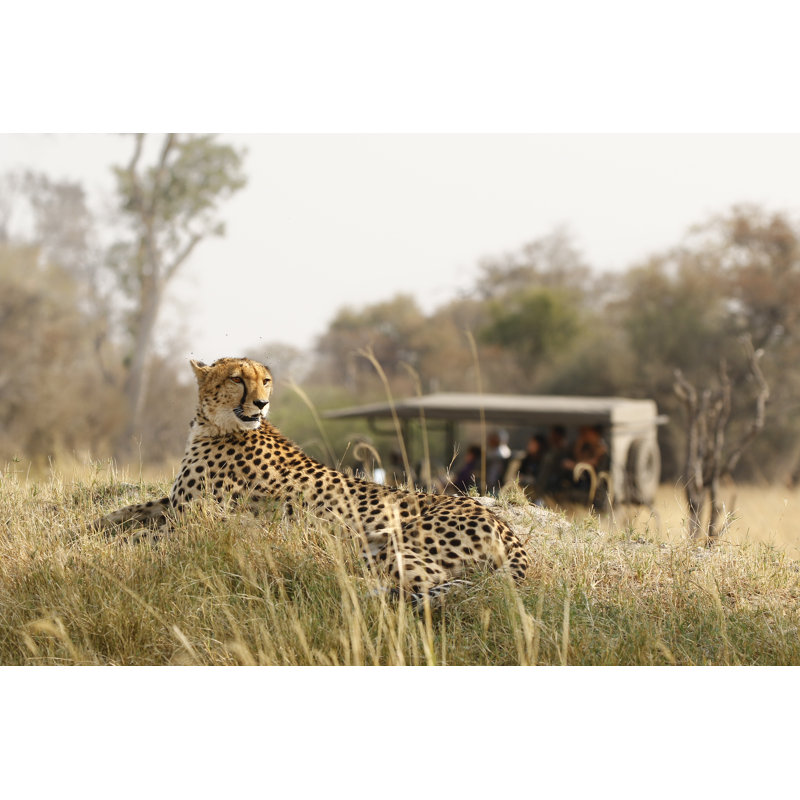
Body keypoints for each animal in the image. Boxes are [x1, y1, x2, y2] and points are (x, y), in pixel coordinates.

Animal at [96, 357, 530, 604]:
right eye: (237, 379)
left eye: (266, 380)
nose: (262, 403)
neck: (216, 425)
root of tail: (503, 524)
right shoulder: (175, 503)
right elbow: (126, 512)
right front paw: (92, 527)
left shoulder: (196, 519)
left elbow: (142, 536)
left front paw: (106, 545)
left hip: (383, 542)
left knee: (431, 582)